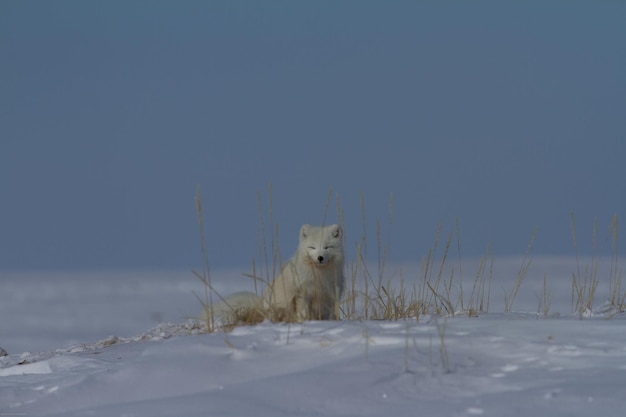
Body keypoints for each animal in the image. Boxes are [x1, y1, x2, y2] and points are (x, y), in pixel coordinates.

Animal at [204, 224, 342, 324]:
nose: (320, 258)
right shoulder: (301, 295)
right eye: (312, 247)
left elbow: (328, 314)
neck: (320, 276)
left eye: (327, 247)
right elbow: (303, 314)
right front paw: (306, 323)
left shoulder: (329, 296)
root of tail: (259, 307)